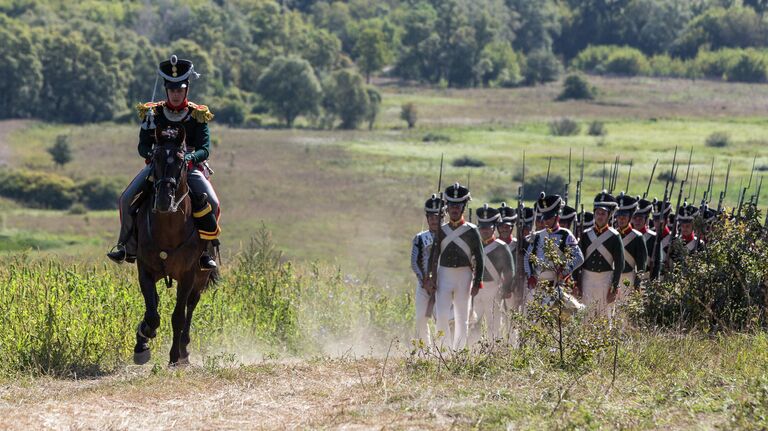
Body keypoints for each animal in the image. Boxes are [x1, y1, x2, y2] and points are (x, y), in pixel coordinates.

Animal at [134, 139, 218, 368]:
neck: (169, 228)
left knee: (191, 305)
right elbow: (152, 314)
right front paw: (143, 341)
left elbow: (178, 316)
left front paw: (174, 357)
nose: (164, 199)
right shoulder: (145, 271)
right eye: (155, 158)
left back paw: (184, 350)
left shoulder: (188, 275)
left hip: (201, 277)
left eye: (181, 162)